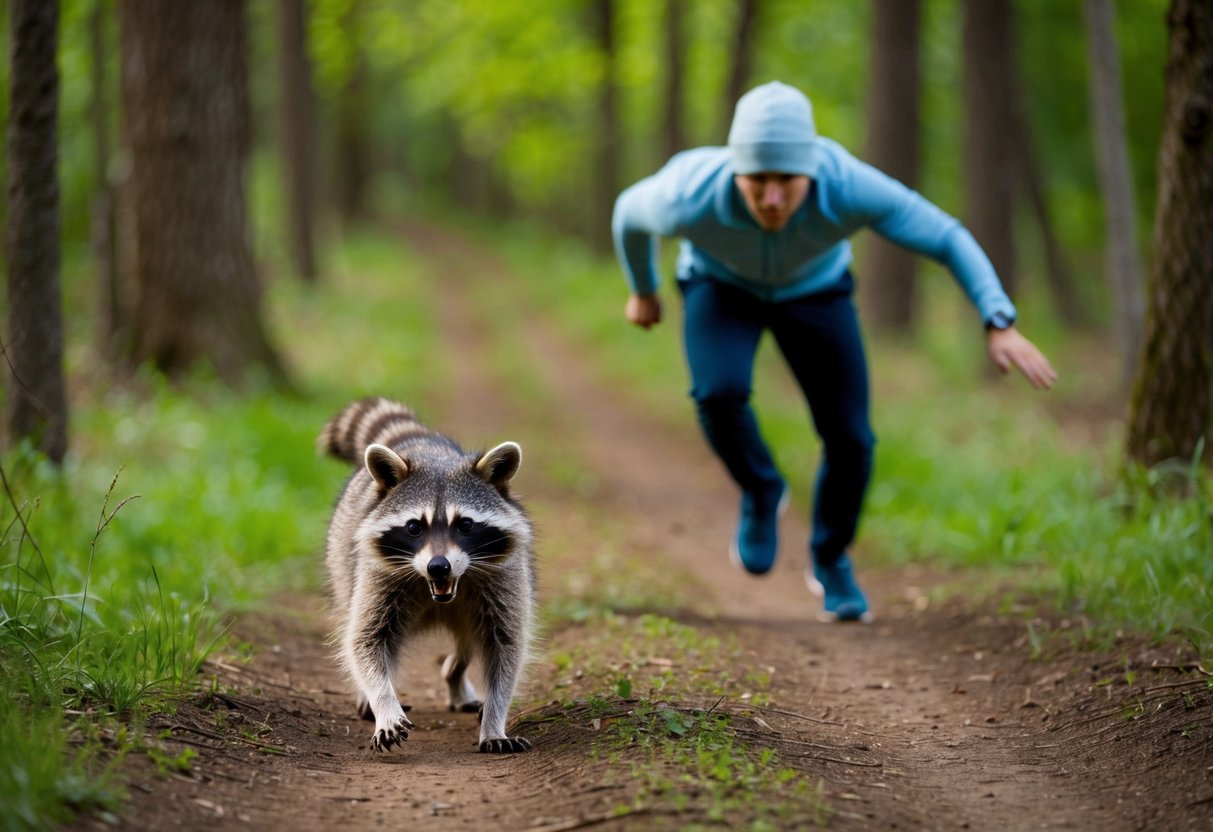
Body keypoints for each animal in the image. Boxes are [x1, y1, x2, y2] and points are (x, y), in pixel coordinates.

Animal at [319, 397, 537, 753]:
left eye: (465, 525)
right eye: (414, 527)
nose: (438, 566)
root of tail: (422, 441)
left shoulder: (504, 577)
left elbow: (505, 647)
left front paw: (494, 720)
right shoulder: (377, 574)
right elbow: (365, 640)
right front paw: (384, 702)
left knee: (467, 643)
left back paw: (454, 674)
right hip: (341, 555)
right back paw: (370, 698)